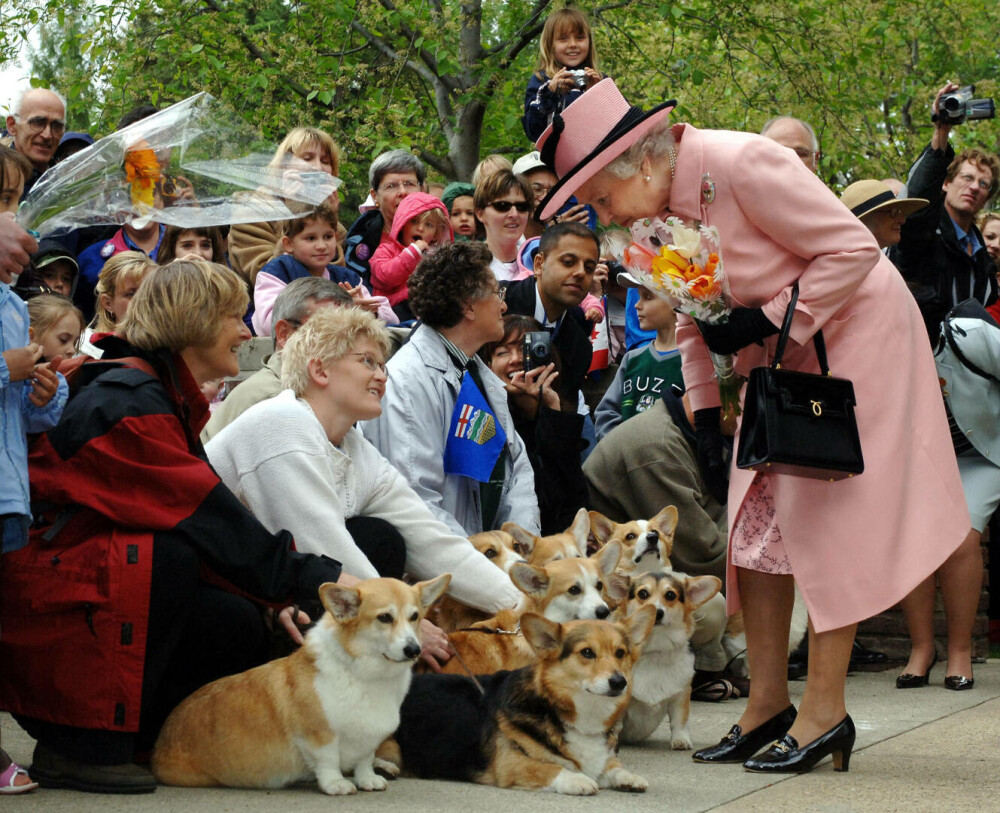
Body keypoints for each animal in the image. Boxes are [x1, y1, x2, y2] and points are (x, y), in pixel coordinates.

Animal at [152, 576, 450, 796]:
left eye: (414, 617)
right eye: (384, 617)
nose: (414, 650)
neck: (365, 675)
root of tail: (159, 744)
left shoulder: (368, 737)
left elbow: (365, 759)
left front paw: (368, 778)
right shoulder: (318, 734)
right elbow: (328, 760)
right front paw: (336, 784)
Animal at [388, 608, 656, 792]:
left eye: (620, 653)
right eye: (587, 653)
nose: (619, 682)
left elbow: (613, 767)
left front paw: (628, 777)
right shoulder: (510, 763)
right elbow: (551, 768)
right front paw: (579, 779)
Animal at [616, 568, 720, 744]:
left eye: (670, 595)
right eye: (642, 593)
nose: (657, 612)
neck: (655, 649)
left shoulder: (681, 696)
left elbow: (680, 721)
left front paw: (681, 740)